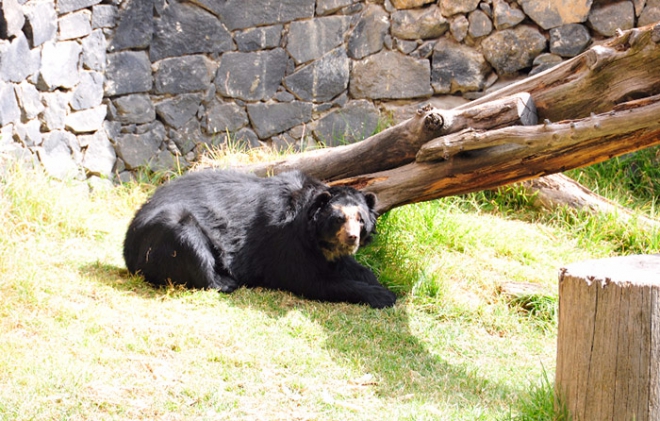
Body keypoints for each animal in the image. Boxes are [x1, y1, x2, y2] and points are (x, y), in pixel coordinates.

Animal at [124, 168, 398, 308]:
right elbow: (311, 280)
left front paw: (378, 282)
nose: (352, 238)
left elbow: (350, 268)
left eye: (360, 219)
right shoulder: (287, 243)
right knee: (193, 247)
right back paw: (226, 282)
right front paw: (383, 296)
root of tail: (128, 245)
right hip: (169, 233)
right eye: (338, 218)